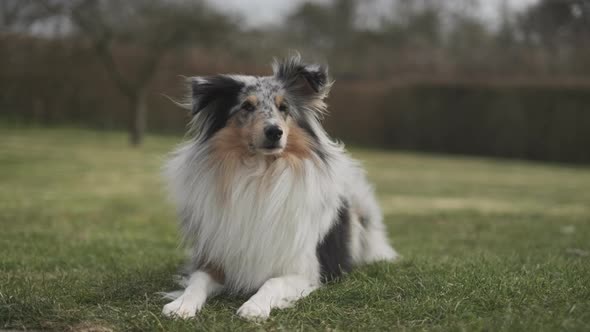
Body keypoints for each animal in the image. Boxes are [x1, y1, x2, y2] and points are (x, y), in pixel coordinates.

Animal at [164, 55, 400, 320]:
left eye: (284, 108)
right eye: (247, 106)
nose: (274, 132)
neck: (260, 173)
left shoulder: (304, 271)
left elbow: (273, 282)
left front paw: (254, 307)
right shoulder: (214, 259)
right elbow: (197, 282)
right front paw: (181, 305)